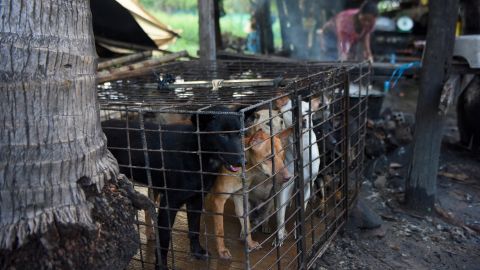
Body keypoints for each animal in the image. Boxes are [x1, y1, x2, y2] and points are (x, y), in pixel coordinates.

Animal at [102, 106, 244, 268]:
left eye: (239, 134)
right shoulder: (169, 204)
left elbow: (194, 229)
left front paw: (197, 252)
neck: (196, 152)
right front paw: (161, 266)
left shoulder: (196, 200)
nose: (242, 161)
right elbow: (164, 240)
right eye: (222, 134)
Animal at [213, 129, 288, 260]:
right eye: (270, 157)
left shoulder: (239, 197)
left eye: (282, 155)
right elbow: (220, 229)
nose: (290, 177)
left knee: (264, 216)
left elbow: (246, 224)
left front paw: (251, 244)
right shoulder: (219, 199)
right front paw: (221, 250)